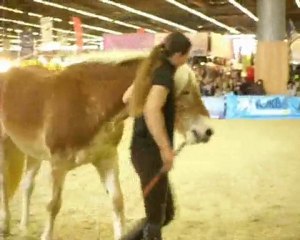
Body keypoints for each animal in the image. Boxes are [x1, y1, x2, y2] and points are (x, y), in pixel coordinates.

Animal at [0, 49, 213, 239]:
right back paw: (6, 225)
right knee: (4, 182)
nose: (207, 131)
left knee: (27, 185)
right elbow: (53, 205)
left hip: (33, 153)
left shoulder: (107, 158)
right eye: (185, 91)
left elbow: (117, 201)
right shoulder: (58, 164)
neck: (88, 101)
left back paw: (24, 228)